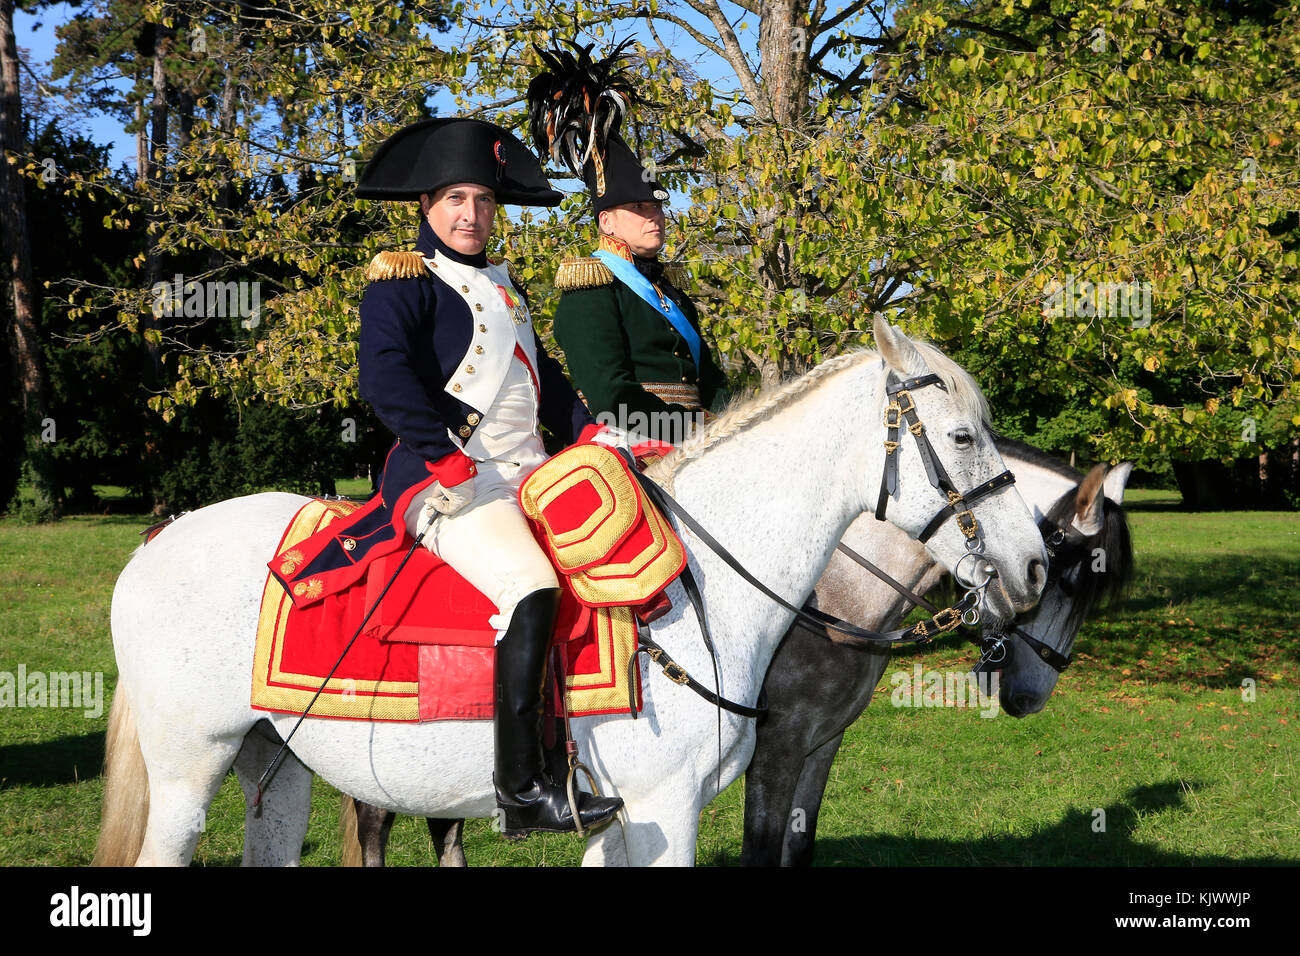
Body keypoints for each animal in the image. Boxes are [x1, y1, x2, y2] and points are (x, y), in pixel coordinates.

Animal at [94, 321, 1045, 868]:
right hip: (189, 771)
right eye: (964, 436)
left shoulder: (634, 820)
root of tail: (161, 538)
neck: (702, 591)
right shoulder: (669, 811)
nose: (1033, 566)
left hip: (276, 767)